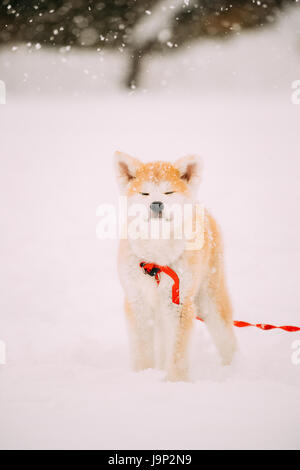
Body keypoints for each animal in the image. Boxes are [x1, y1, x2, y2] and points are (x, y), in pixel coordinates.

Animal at [115, 151, 237, 382]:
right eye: (145, 193)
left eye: (168, 192)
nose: (156, 204)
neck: (156, 259)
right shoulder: (137, 302)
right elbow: (143, 349)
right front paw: (143, 375)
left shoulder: (180, 305)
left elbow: (178, 351)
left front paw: (175, 382)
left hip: (210, 299)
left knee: (227, 339)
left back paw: (236, 368)